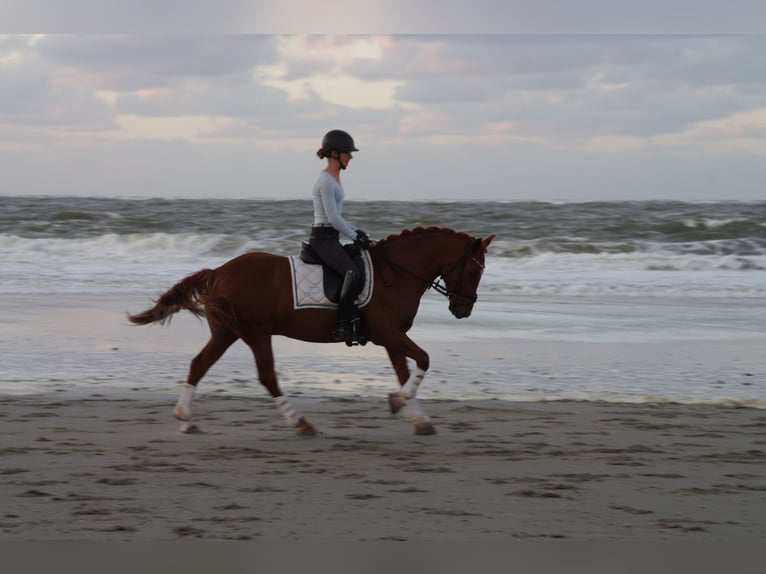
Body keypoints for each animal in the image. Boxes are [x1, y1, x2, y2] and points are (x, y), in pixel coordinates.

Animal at [127, 226, 495, 436]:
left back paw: (185, 417)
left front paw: (418, 418)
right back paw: (300, 423)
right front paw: (398, 402)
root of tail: (219, 271)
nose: (463, 310)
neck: (397, 274)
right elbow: (425, 360)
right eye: (474, 272)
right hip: (256, 333)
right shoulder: (388, 334)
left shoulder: (392, 339)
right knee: (267, 377)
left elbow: (407, 371)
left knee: (199, 364)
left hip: (226, 332)